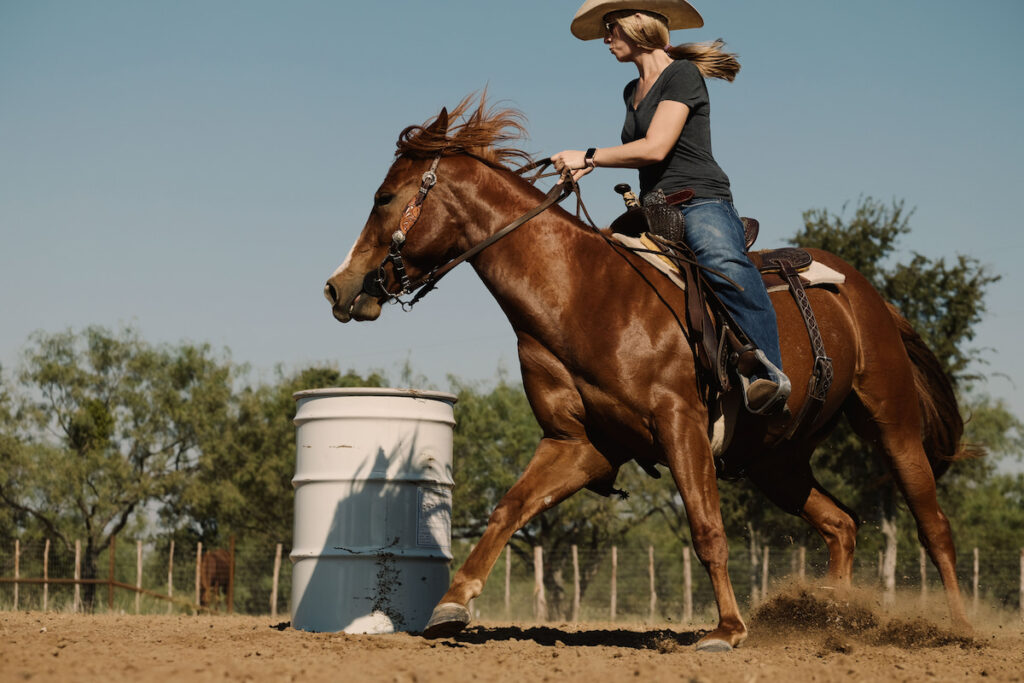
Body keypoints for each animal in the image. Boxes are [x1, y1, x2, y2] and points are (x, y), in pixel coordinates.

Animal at [323, 97, 970, 651]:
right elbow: (510, 509)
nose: (337, 286)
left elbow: (707, 528)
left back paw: (958, 629)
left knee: (934, 526)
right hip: (776, 460)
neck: (581, 294)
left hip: (892, 423)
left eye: (385, 196)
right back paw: (829, 617)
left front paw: (727, 630)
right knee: (841, 525)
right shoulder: (580, 443)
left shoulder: (680, 425)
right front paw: (452, 605)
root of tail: (868, 296)